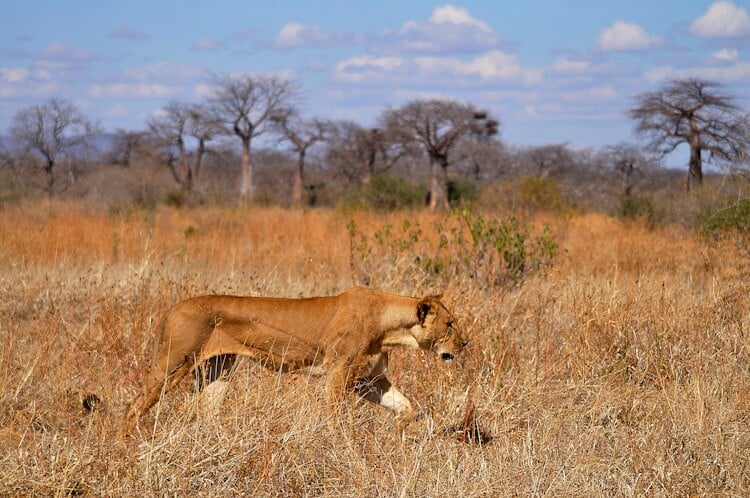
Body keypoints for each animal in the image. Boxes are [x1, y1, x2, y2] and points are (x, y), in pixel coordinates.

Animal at [120, 286, 467, 437]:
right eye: (450, 324)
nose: (465, 344)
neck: (391, 328)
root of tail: (172, 307)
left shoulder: (369, 381)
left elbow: (406, 406)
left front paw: (398, 434)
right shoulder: (339, 374)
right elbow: (335, 416)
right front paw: (340, 444)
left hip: (220, 369)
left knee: (205, 410)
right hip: (174, 363)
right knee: (133, 406)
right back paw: (125, 445)